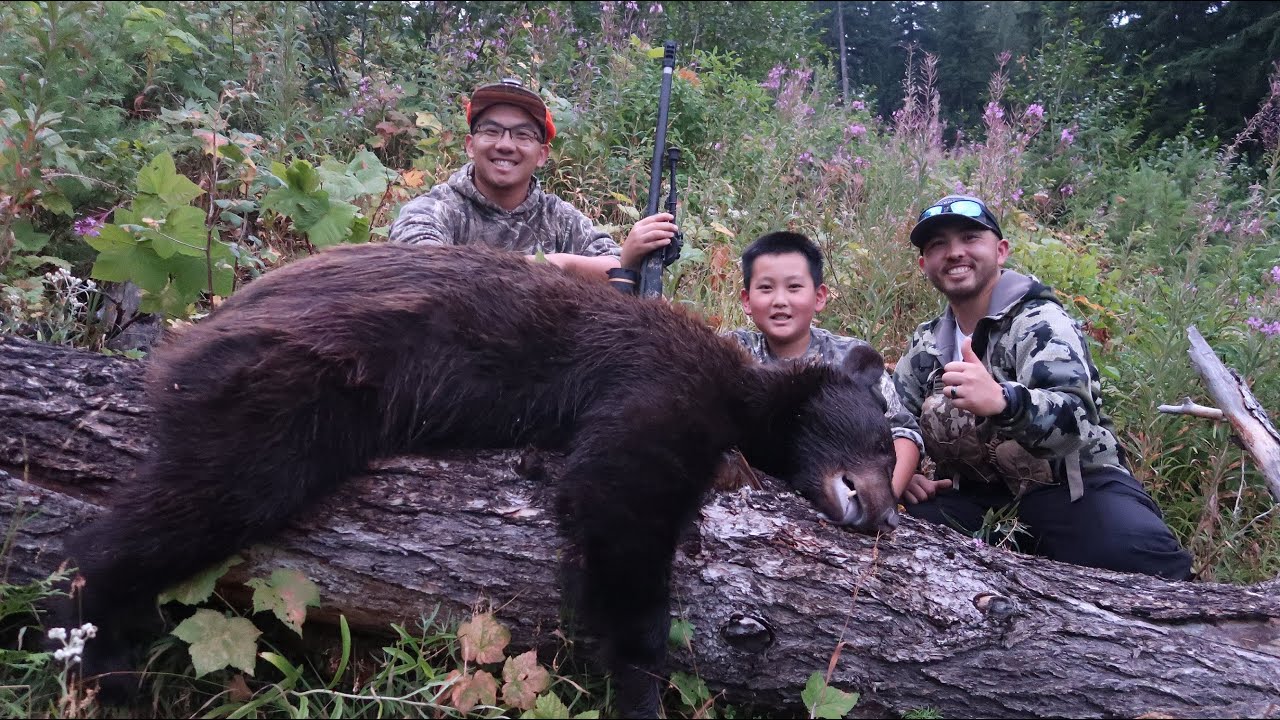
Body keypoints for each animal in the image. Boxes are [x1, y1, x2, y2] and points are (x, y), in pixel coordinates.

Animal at [53, 242, 899, 718]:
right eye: (885, 447)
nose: (882, 514)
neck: (745, 393)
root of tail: (201, 328)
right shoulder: (658, 383)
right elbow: (618, 497)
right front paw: (638, 687)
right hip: (289, 387)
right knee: (204, 496)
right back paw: (106, 664)